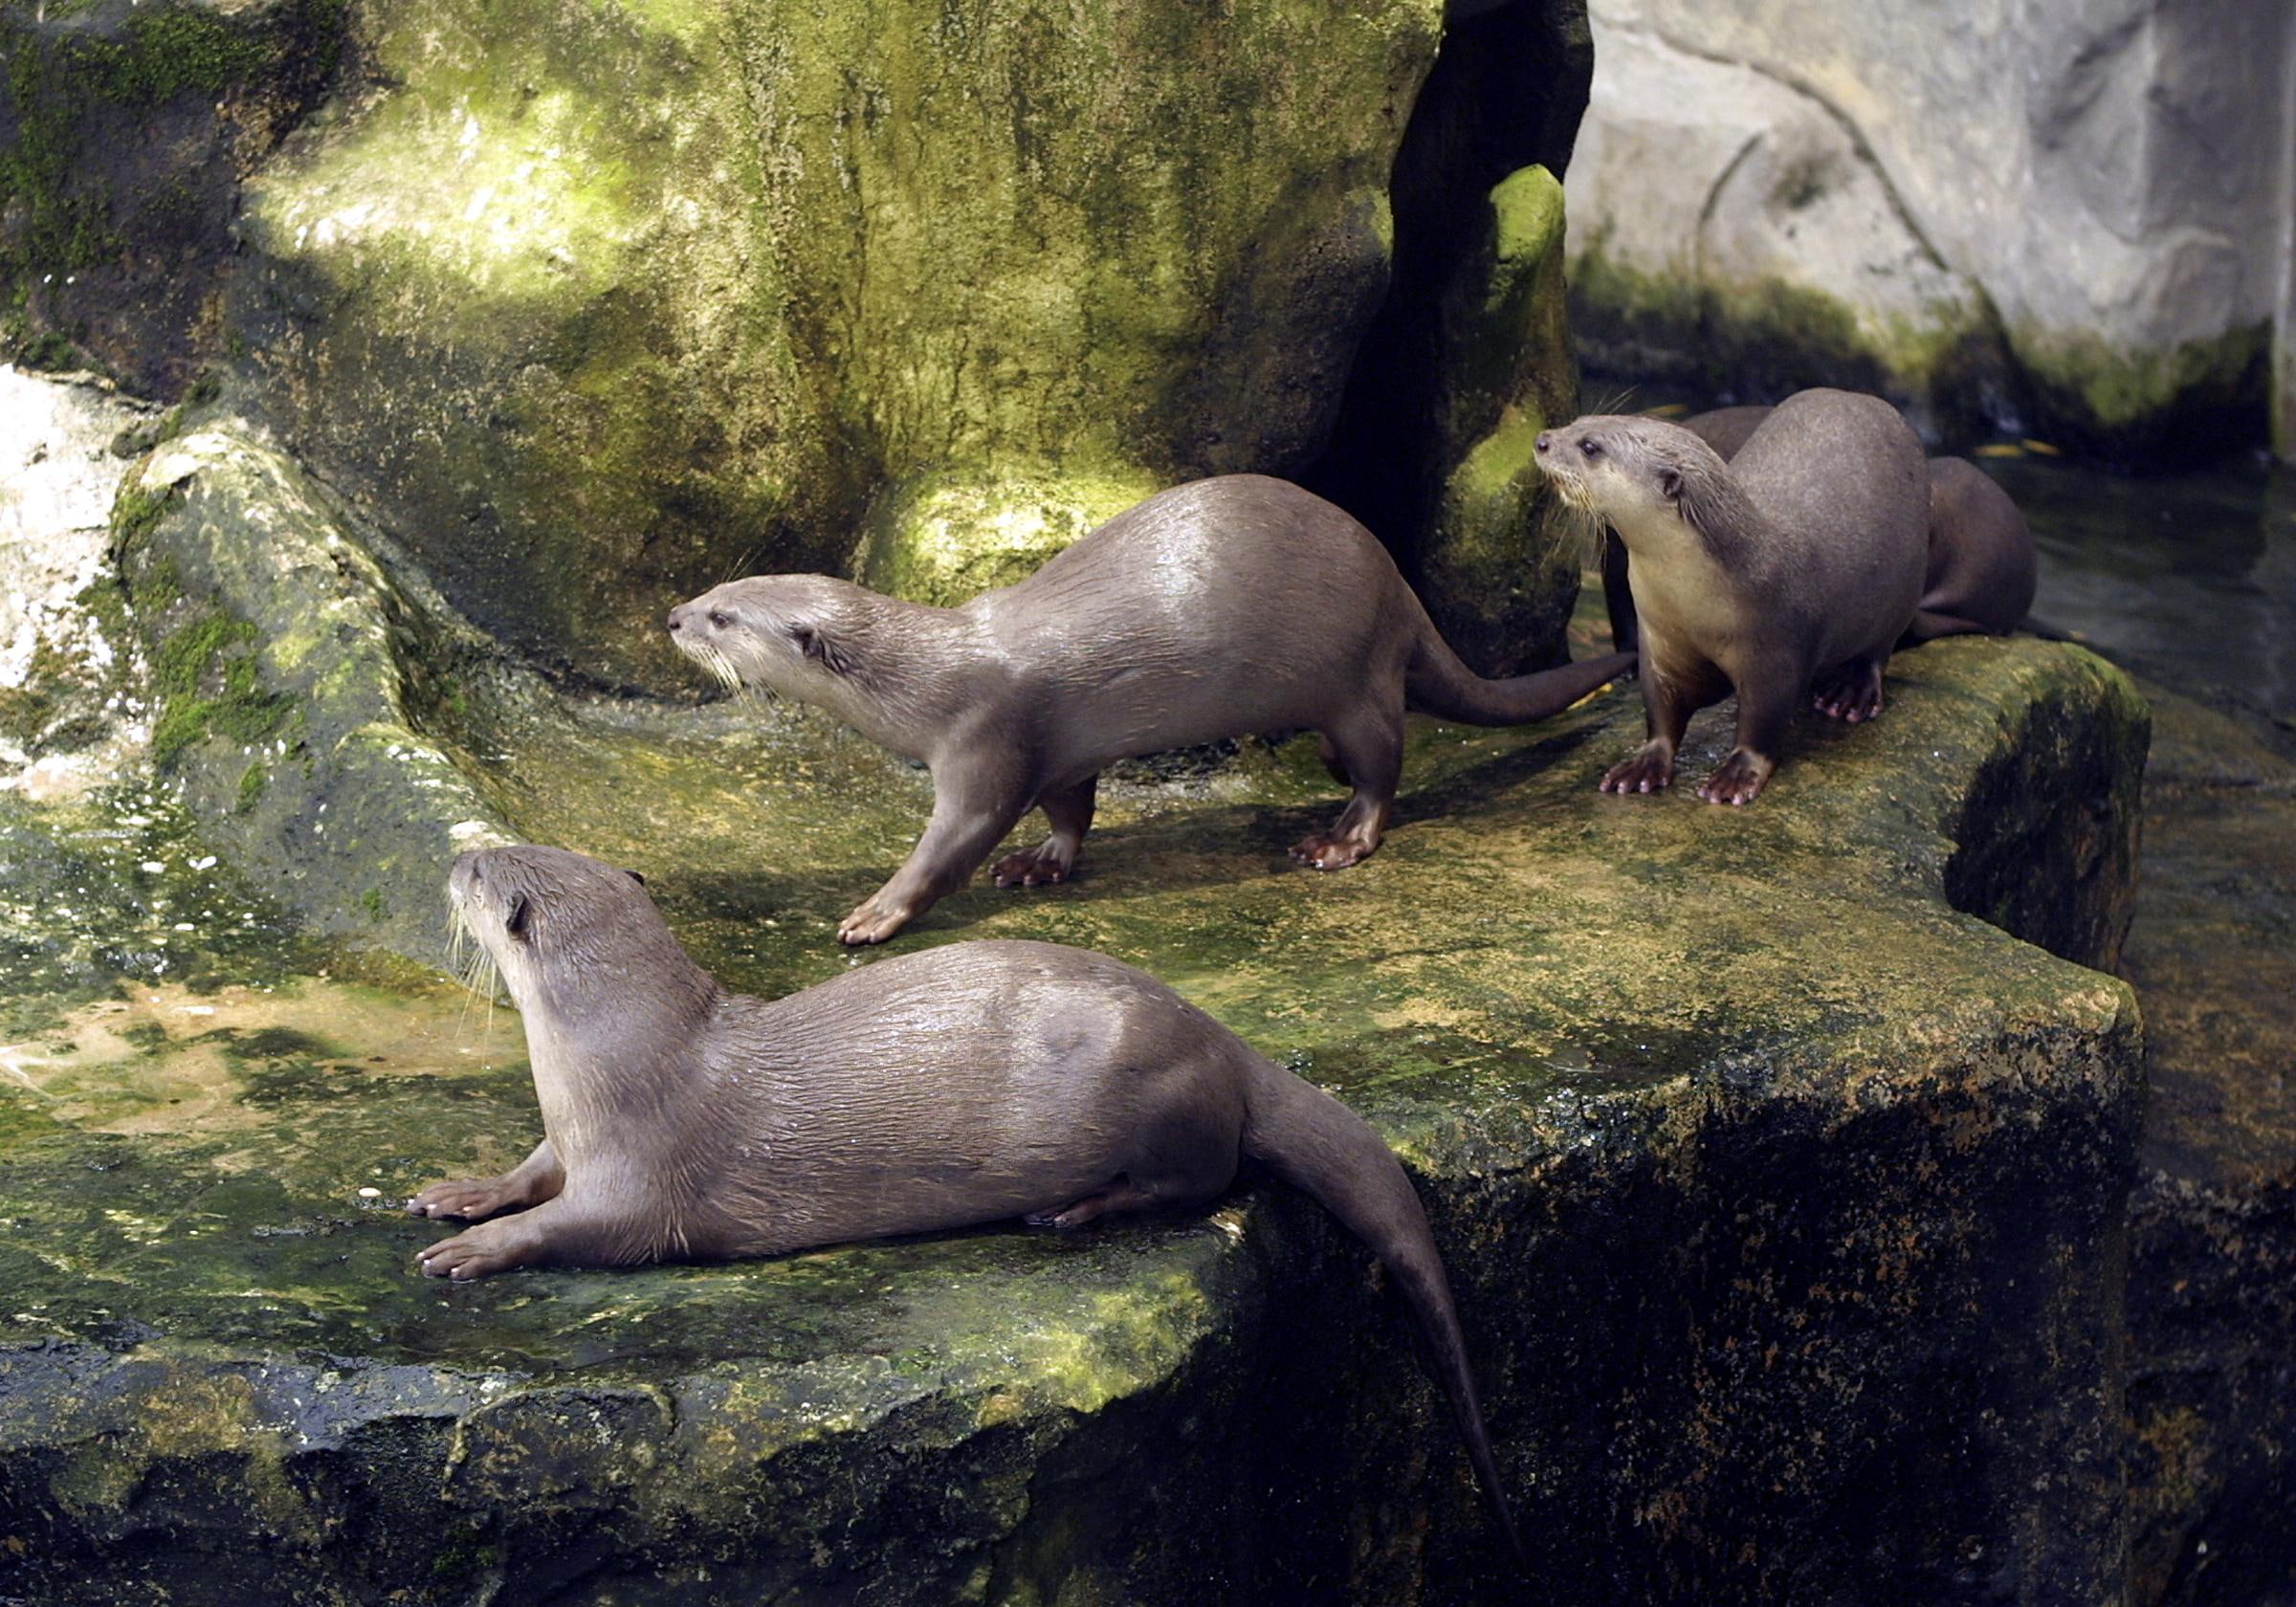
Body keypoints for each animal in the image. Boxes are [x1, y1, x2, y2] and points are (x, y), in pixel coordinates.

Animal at [409, 843, 1524, 1561]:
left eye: (482, 870)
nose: (453, 857)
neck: (608, 1060)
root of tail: (1225, 1039)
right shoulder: (572, 1136)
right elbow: (531, 1170)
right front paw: (461, 1193)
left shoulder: (644, 1174)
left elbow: (583, 1226)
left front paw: (480, 1250)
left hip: (1162, 1099)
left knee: (1200, 1180)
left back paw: (1074, 1211)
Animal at [668, 474, 1633, 943]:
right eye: (717, 589)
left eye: (726, 618)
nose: (675, 616)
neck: (927, 676)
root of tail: (1395, 580)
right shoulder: (1058, 752)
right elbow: (1071, 811)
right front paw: (1039, 864)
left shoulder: (987, 741)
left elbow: (954, 841)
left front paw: (877, 911)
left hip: (1355, 672)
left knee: (1383, 766)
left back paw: (1337, 841)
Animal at [1537, 390, 1929, 804]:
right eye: (1576, 421)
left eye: (1590, 447)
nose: (1542, 440)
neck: (1696, 597)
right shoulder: (1659, 640)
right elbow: (1661, 709)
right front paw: (1643, 765)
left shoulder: (1778, 650)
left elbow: (1763, 721)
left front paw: (1737, 776)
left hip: (1904, 586)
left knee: (1879, 650)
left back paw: (1851, 693)